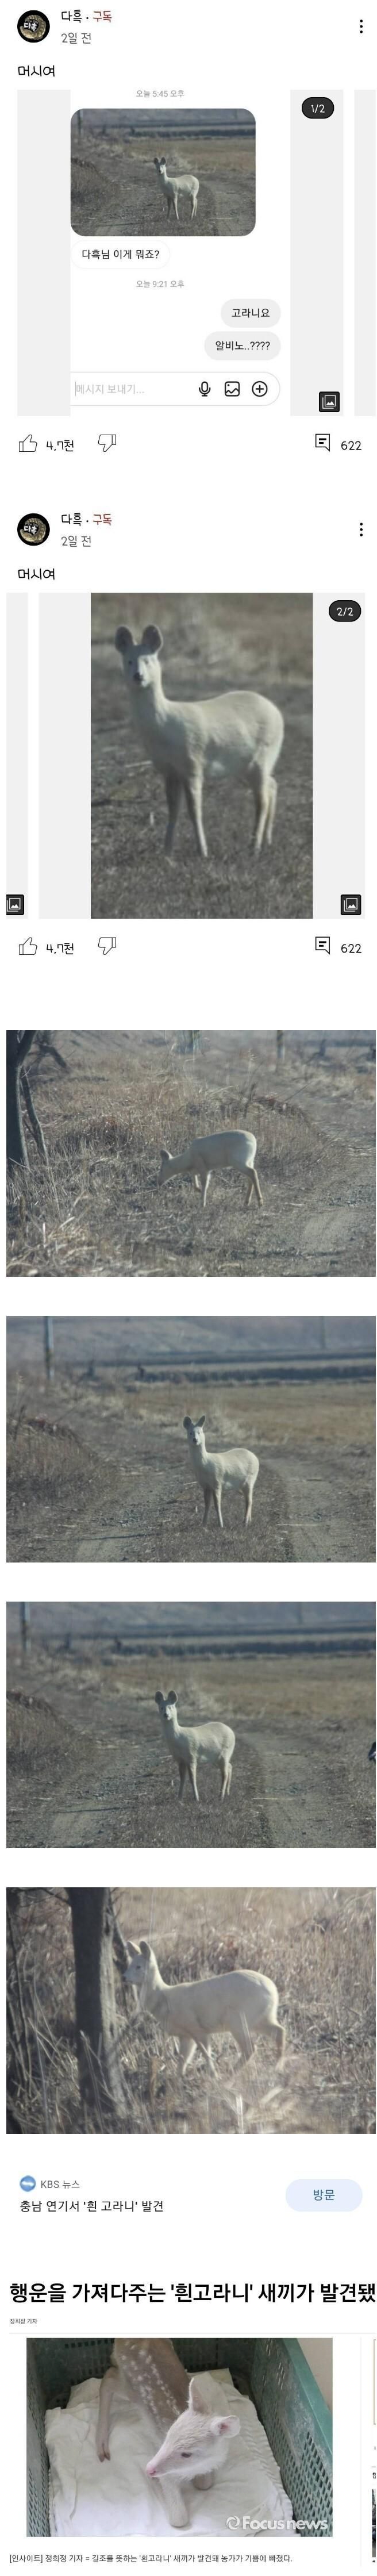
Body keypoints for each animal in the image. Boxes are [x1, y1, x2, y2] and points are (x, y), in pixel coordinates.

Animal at [114, 625, 283, 860]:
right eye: (129, 660)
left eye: (148, 660)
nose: (138, 676)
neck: (164, 727)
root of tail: (278, 713)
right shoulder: (169, 770)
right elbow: (173, 810)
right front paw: (167, 853)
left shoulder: (193, 763)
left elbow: (195, 811)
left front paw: (203, 852)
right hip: (244, 765)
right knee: (272, 785)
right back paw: (267, 841)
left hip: (263, 755)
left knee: (263, 799)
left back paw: (254, 847)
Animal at [124, 1937, 285, 2081]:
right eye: (130, 1964)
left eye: (139, 1966)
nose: (124, 1977)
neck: (164, 1999)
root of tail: (273, 1991)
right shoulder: (185, 2035)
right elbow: (183, 2059)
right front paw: (178, 2080)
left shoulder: (197, 2028)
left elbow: (206, 2054)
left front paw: (213, 2076)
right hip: (262, 2017)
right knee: (279, 2031)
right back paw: (276, 2067)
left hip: (238, 2020)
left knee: (251, 2047)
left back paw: (230, 2077)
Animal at [155, 1679, 233, 1803]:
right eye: (161, 1707)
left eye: (171, 1707)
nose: (166, 1715)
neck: (178, 1739)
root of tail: (232, 1732)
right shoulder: (180, 1759)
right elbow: (182, 1779)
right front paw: (179, 1799)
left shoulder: (192, 1756)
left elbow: (193, 1779)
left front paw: (196, 1798)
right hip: (216, 1757)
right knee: (230, 1767)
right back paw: (227, 1793)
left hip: (225, 1752)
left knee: (224, 1773)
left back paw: (221, 1796)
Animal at [156, 1123, 262, 1211]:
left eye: (161, 1169)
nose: (159, 1182)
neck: (188, 1161)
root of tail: (254, 1141)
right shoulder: (197, 1170)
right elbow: (195, 1184)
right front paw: (199, 1191)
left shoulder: (203, 1167)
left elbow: (204, 1183)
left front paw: (202, 1203)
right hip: (249, 1161)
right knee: (250, 1178)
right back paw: (247, 1202)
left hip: (238, 1160)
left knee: (253, 1173)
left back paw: (260, 1202)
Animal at [183, 1411, 259, 1525]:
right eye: (190, 1433)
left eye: (200, 1432)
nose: (195, 1440)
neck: (205, 1465)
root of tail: (256, 1458)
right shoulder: (206, 1486)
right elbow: (207, 1505)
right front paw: (203, 1524)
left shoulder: (217, 1482)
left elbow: (217, 1505)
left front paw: (221, 1525)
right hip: (241, 1484)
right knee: (249, 1499)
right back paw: (249, 1521)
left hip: (250, 1479)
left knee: (249, 1501)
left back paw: (245, 1522)